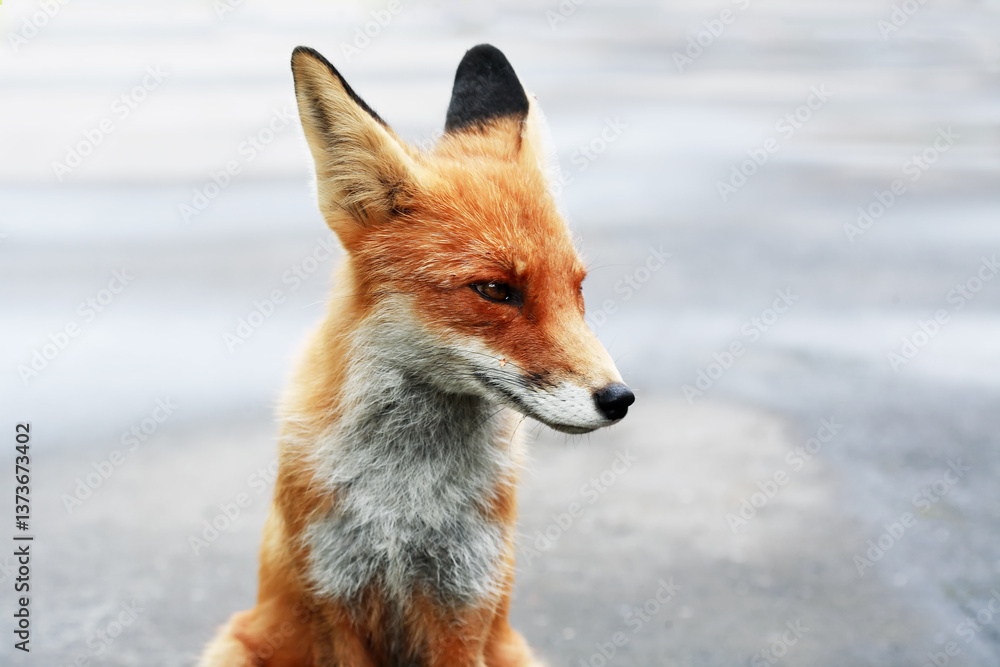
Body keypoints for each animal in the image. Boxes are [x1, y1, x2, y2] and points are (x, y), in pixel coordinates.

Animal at [199, 43, 635, 667]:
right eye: (495, 290)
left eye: (577, 289)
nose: (619, 398)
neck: (405, 505)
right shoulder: (335, 598)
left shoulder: (464, 600)